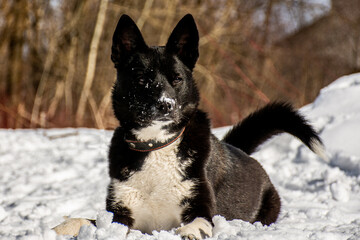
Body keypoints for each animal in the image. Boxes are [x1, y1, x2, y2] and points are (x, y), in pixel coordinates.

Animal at [54, 14, 326, 239]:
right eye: (141, 79)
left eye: (177, 78)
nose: (165, 105)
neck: (156, 145)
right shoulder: (119, 215)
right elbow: (85, 220)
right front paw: (62, 227)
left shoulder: (200, 207)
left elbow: (198, 223)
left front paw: (189, 232)